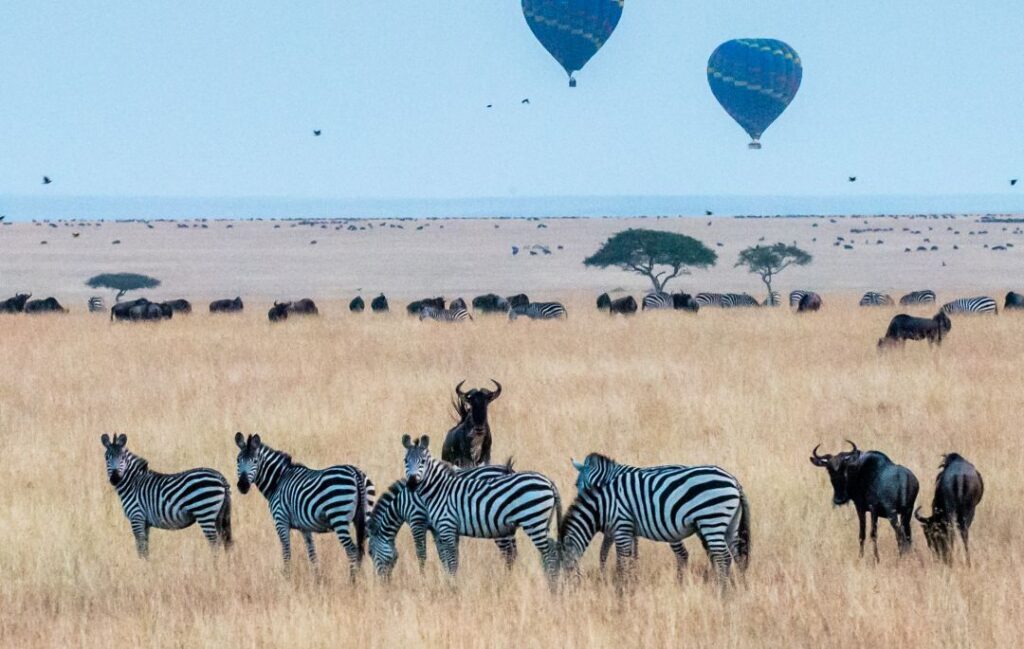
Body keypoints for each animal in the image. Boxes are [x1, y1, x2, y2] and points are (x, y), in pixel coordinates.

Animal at [99, 429, 232, 556]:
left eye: (122, 458)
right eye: (106, 457)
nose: (115, 478)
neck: (133, 482)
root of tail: (219, 476)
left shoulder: (137, 517)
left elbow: (141, 548)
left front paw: (141, 564)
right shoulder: (145, 522)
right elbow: (145, 548)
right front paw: (147, 564)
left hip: (205, 511)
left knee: (214, 543)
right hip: (219, 515)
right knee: (225, 540)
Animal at [234, 431, 374, 573]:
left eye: (255, 461)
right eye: (238, 461)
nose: (242, 485)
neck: (278, 480)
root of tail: (356, 473)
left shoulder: (281, 521)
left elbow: (286, 553)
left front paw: (287, 576)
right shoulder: (305, 527)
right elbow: (312, 554)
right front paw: (317, 576)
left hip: (338, 516)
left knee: (352, 550)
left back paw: (352, 577)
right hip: (365, 517)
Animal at [366, 460, 520, 577]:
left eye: (370, 553)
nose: (381, 583)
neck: (401, 502)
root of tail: (507, 470)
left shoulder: (417, 520)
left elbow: (421, 553)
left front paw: (422, 578)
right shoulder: (436, 527)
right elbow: (443, 555)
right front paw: (448, 576)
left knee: (509, 553)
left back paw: (506, 580)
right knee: (513, 552)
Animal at [399, 431, 561, 585]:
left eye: (423, 461)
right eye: (405, 461)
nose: (411, 483)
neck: (439, 489)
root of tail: (549, 482)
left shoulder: (441, 525)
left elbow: (445, 558)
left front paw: (450, 585)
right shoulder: (442, 529)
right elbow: (449, 558)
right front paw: (449, 581)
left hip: (532, 521)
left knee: (548, 554)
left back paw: (552, 584)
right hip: (540, 523)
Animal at [561, 460, 753, 585]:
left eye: (578, 484)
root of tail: (734, 481)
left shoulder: (621, 524)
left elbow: (619, 557)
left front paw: (622, 584)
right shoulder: (626, 528)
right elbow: (624, 554)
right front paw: (626, 579)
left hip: (711, 520)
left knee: (721, 556)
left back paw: (722, 589)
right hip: (728, 525)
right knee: (737, 556)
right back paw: (739, 586)